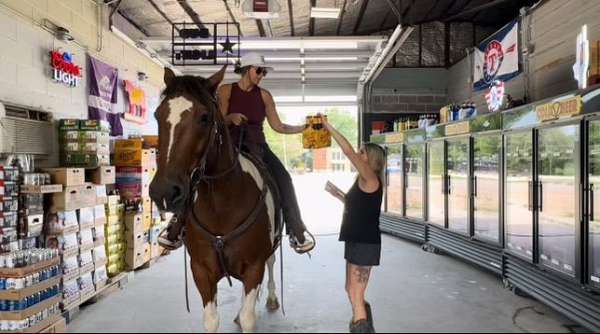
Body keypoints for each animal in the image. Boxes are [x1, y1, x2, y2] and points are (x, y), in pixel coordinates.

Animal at [150, 66, 282, 332]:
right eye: (158, 115)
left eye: (204, 118)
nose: (164, 192)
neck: (220, 205)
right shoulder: (201, 270)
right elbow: (211, 320)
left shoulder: (254, 267)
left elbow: (249, 318)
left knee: (272, 262)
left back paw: (272, 299)